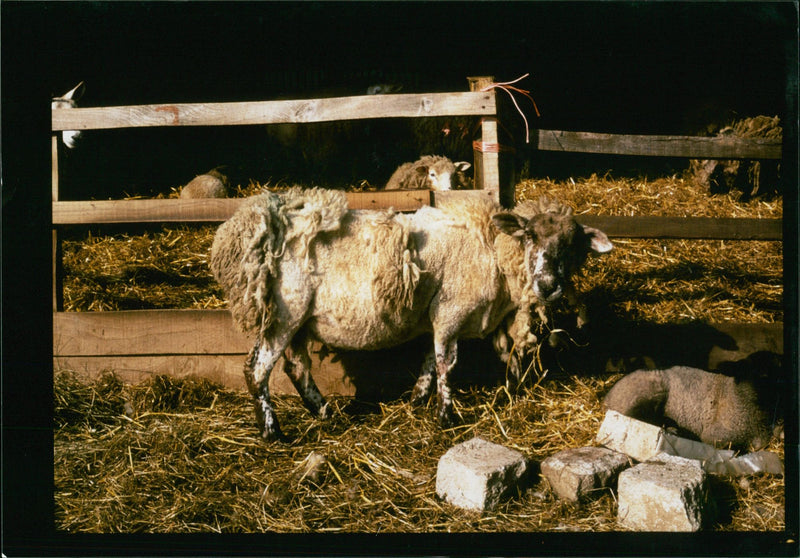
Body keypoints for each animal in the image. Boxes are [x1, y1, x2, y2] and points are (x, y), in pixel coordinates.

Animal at [209, 188, 608, 442]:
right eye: (530, 236)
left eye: (573, 246)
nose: (549, 285)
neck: (491, 250)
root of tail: (254, 225)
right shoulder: (450, 310)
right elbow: (447, 363)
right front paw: (446, 417)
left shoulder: (439, 316)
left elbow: (430, 360)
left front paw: (417, 401)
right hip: (284, 311)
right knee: (257, 369)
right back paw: (272, 431)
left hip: (299, 320)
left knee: (296, 367)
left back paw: (324, 413)